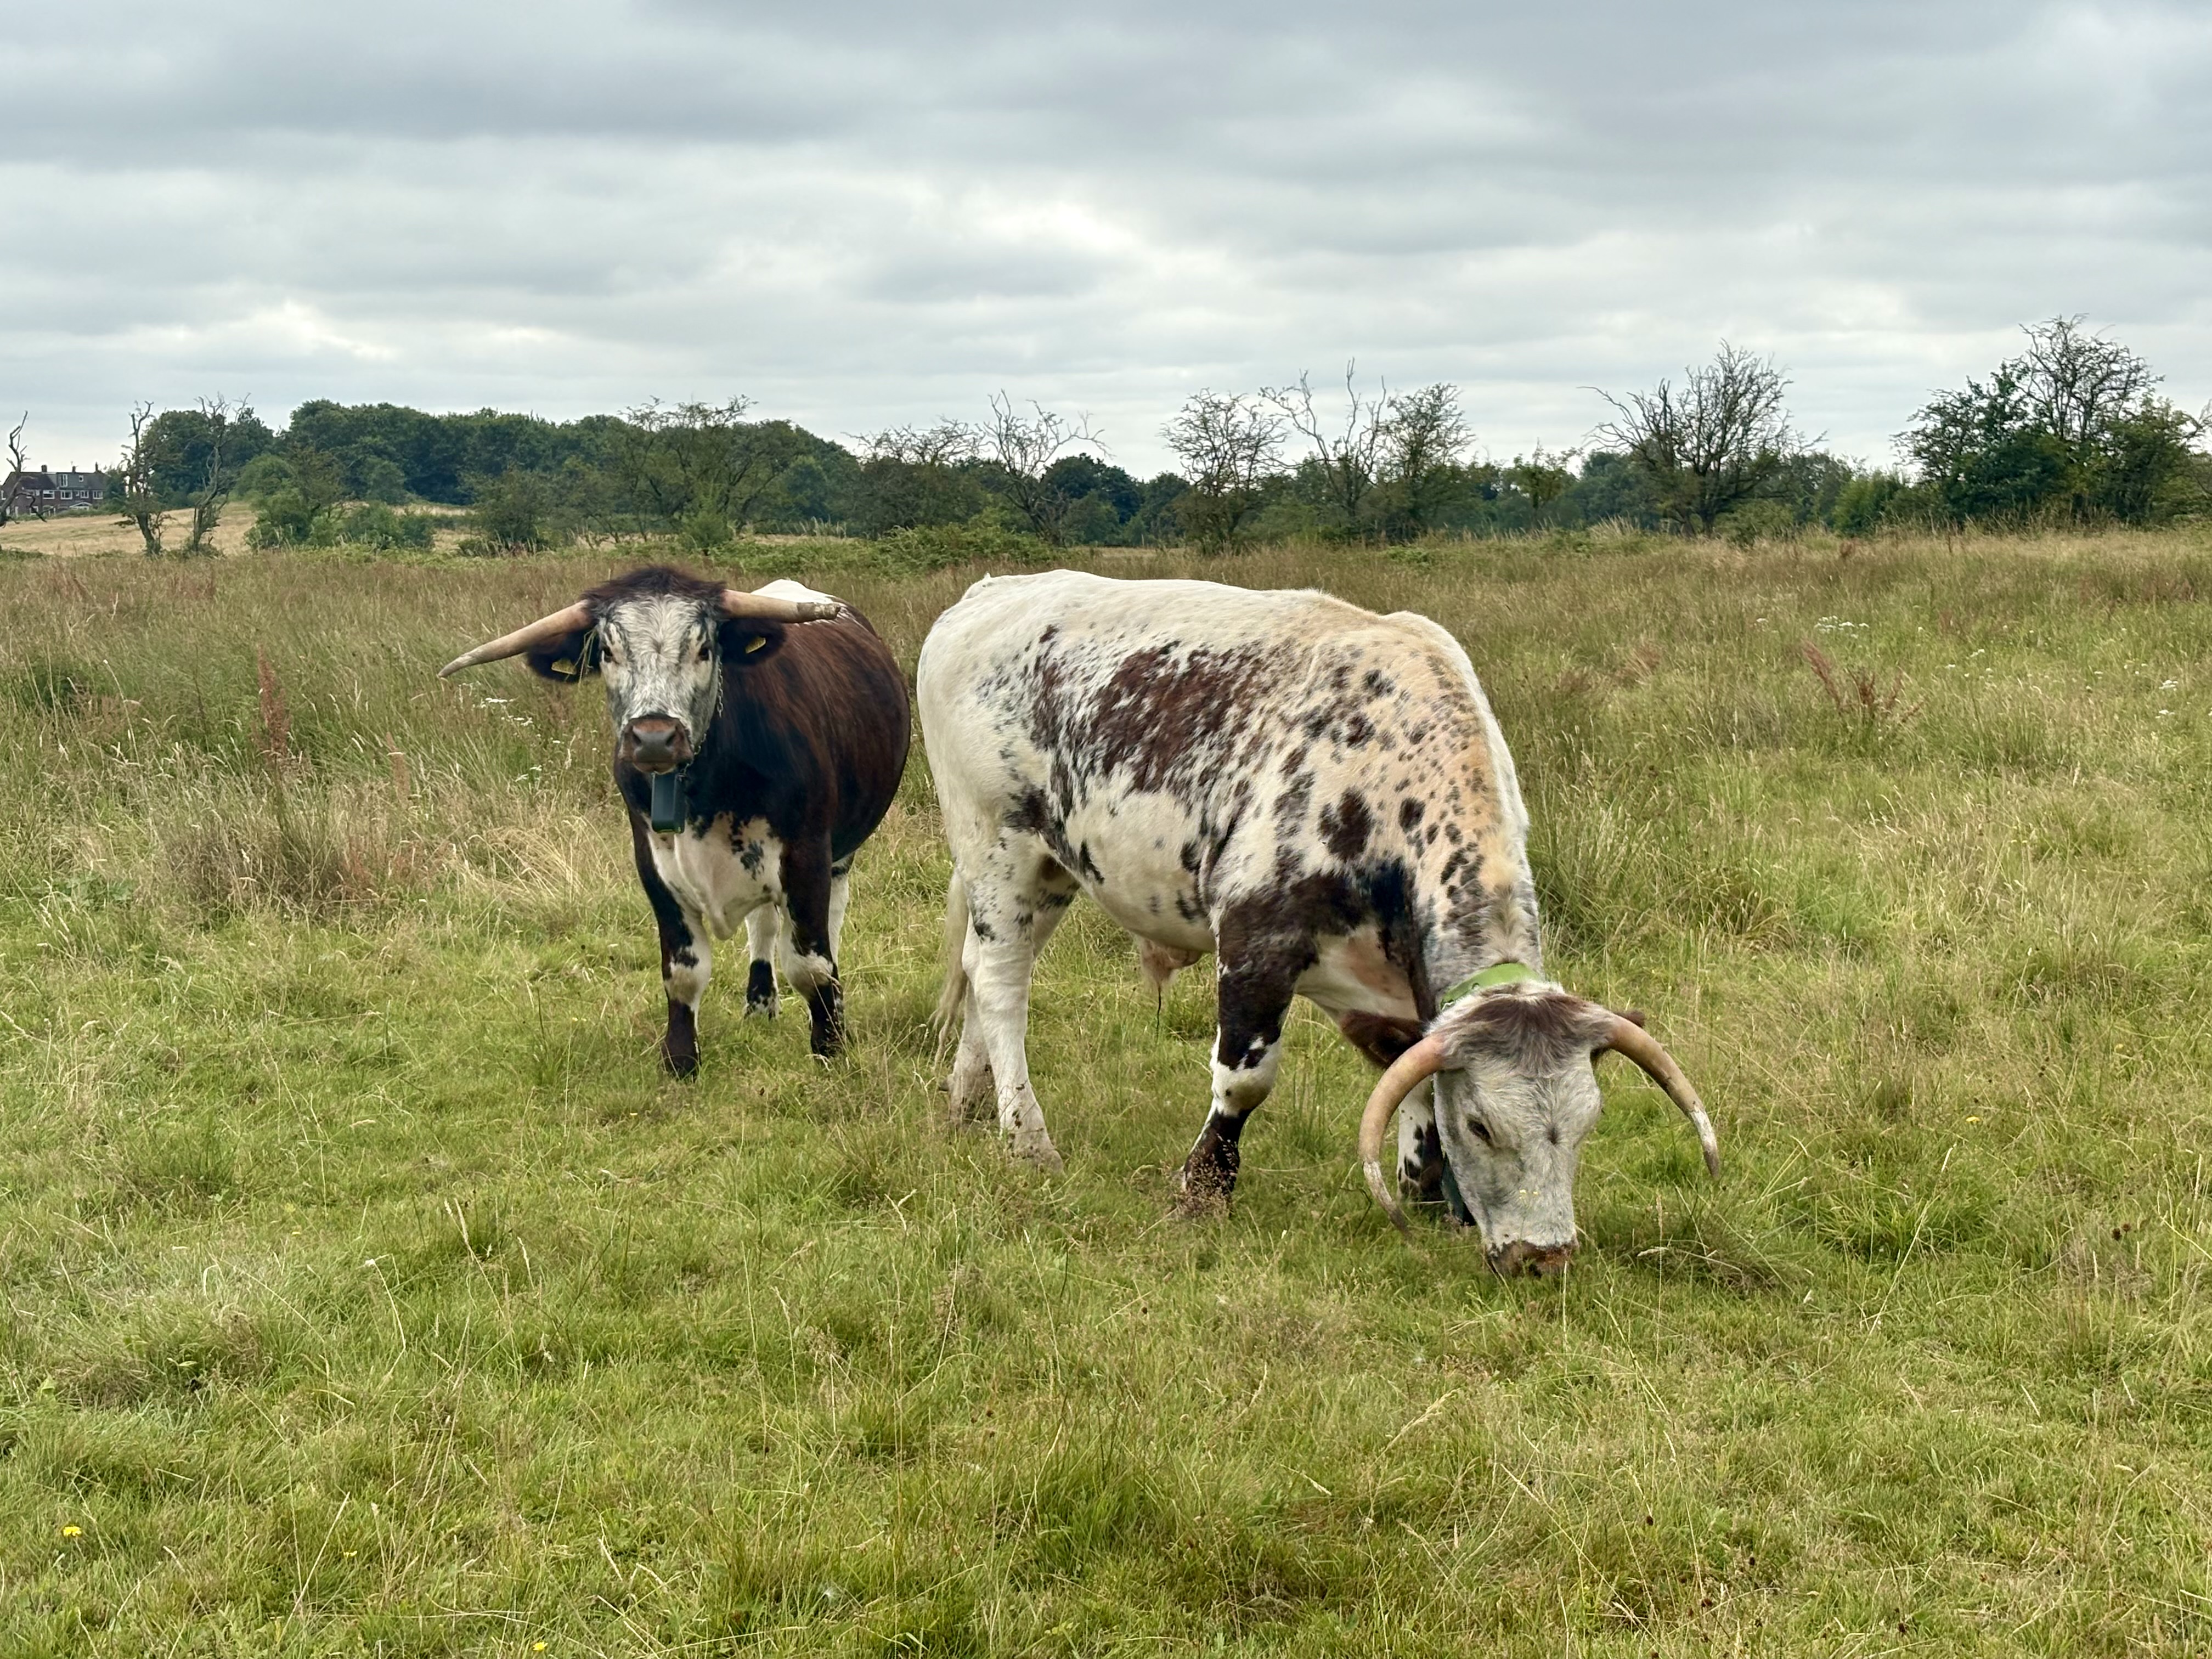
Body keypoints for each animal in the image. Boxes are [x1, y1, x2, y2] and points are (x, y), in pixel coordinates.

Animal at [440, 566, 910, 1069]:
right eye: (608, 652)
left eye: (704, 649)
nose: (653, 738)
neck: (703, 784)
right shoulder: (654, 866)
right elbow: (683, 971)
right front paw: (681, 1059)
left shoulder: (807, 857)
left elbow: (811, 965)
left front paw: (830, 1045)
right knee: (763, 926)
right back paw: (759, 1005)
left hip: (840, 855)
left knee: (828, 927)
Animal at [918, 570, 1716, 1274]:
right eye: (1484, 1125)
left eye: (1588, 1124)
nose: (1542, 1258)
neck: (1393, 777)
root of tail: (987, 594)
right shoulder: (1256, 941)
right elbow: (1244, 1081)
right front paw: (1202, 1192)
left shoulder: (1389, 987)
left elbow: (1409, 1070)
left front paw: (1428, 1194)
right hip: (997, 849)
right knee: (1003, 988)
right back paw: (1028, 1139)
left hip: (1051, 873)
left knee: (983, 975)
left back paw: (966, 1103)